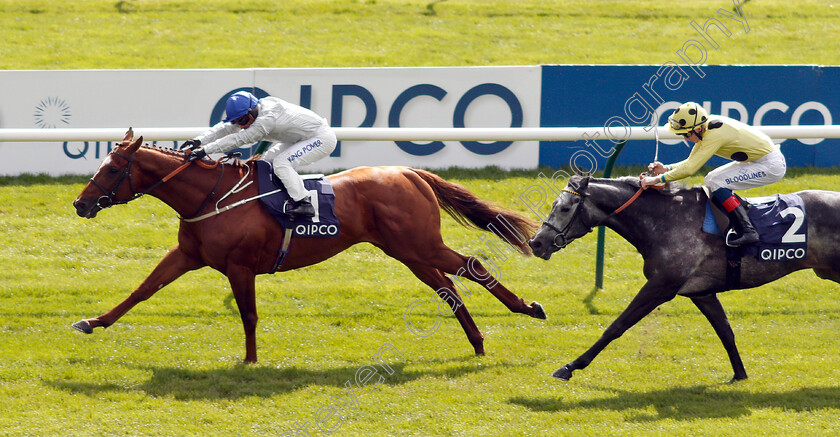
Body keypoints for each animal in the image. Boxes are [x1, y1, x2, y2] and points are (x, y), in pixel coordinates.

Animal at [72, 129, 544, 362]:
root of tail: (410, 172)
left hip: (420, 244)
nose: (80, 204)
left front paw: (250, 361)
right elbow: (142, 290)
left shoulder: (240, 266)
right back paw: (478, 342)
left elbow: (248, 315)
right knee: (448, 286)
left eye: (112, 168)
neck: (212, 196)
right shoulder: (188, 255)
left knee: (471, 264)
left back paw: (528, 307)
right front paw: (93, 322)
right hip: (406, 251)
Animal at [528, 174, 840, 382]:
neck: (667, 219)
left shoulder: (661, 286)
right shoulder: (700, 292)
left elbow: (617, 326)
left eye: (565, 208)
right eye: (554, 204)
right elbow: (725, 331)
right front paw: (739, 374)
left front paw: (570, 367)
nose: (536, 243)